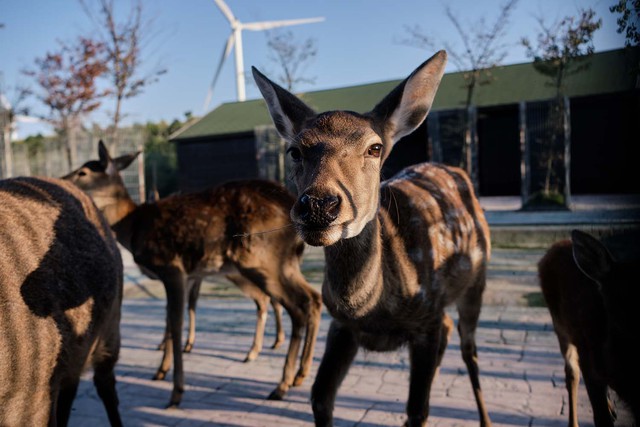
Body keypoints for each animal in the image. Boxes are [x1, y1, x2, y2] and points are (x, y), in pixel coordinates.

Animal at [63, 143, 322, 408]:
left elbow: (176, 322)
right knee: (312, 297)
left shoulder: (171, 267)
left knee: (298, 305)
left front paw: (176, 391)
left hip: (261, 260)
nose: (63, 180)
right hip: (284, 262)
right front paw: (161, 371)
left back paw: (282, 384)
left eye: (83, 172)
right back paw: (298, 375)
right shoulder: (187, 275)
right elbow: (171, 318)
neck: (131, 226)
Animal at [252, 51, 492, 427]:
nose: (319, 204)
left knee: (469, 350)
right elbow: (320, 397)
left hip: (475, 283)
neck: (373, 309)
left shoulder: (426, 320)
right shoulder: (342, 325)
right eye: (294, 151)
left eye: (375, 148)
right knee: (451, 329)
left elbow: (417, 409)